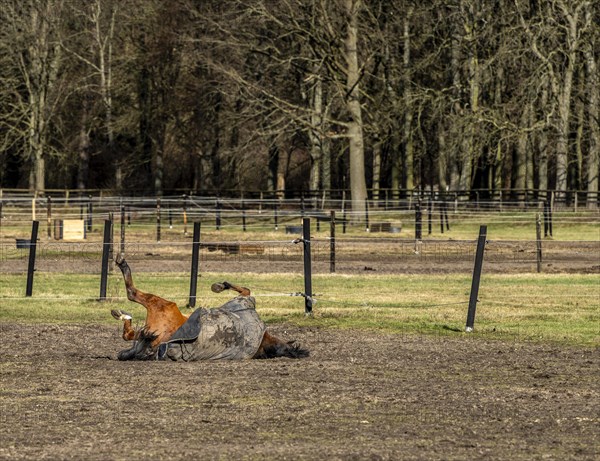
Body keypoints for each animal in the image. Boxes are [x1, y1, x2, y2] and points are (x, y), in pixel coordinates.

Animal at [110, 255, 310, 360]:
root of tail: (156, 343)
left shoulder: (243, 302)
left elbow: (246, 291)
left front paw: (220, 285)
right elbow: (246, 289)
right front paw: (221, 285)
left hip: (164, 306)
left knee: (132, 295)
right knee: (130, 332)